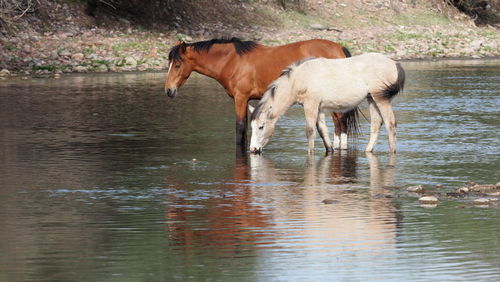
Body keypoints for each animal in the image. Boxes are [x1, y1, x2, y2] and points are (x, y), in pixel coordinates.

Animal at [163, 39, 356, 152]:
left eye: (178, 64)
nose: (169, 90)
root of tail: (338, 48)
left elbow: (240, 127)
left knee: (341, 121)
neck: (232, 61)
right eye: (170, 63)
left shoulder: (240, 98)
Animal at [248, 53, 404, 154]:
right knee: (377, 124)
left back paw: (392, 151)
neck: (298, 79)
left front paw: (310, 153)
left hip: (381, 98)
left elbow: (310, 131)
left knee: (390, 124)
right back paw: (368, 150)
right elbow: (322, 130)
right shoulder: (319, 107)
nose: (253, 149)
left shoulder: (310, 104)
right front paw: (330, 149)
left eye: (261, 127)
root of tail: (394, 62)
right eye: (252, 127)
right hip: (371, 99)